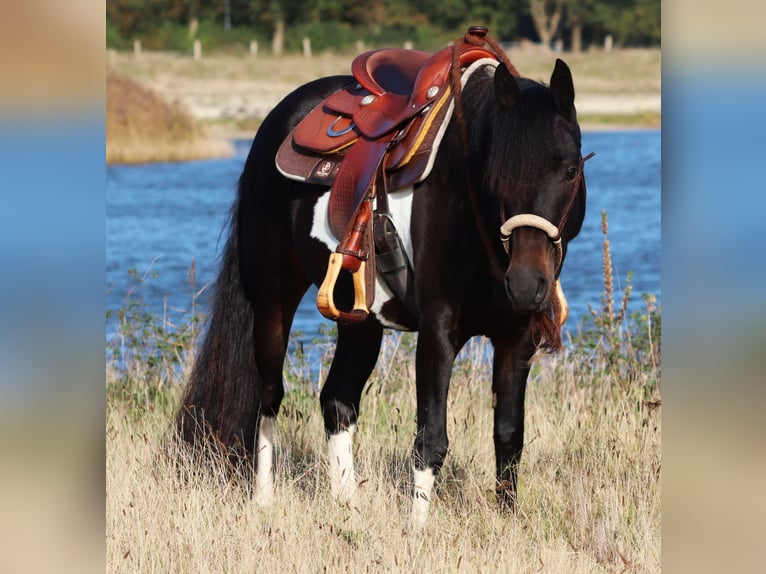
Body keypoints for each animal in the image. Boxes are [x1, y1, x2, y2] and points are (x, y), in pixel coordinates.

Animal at [177, 29, 592, 528]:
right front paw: (417, 532)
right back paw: (264, 501)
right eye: (495, 174)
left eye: (570, 169)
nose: (527, 285)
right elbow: (431, 439)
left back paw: (347, 507)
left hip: (359, 321)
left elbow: (509, 435)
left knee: (337, 401)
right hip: (272, 300)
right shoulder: (437, 333)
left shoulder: (517, 339)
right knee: (269, 396)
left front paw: (506, 522)